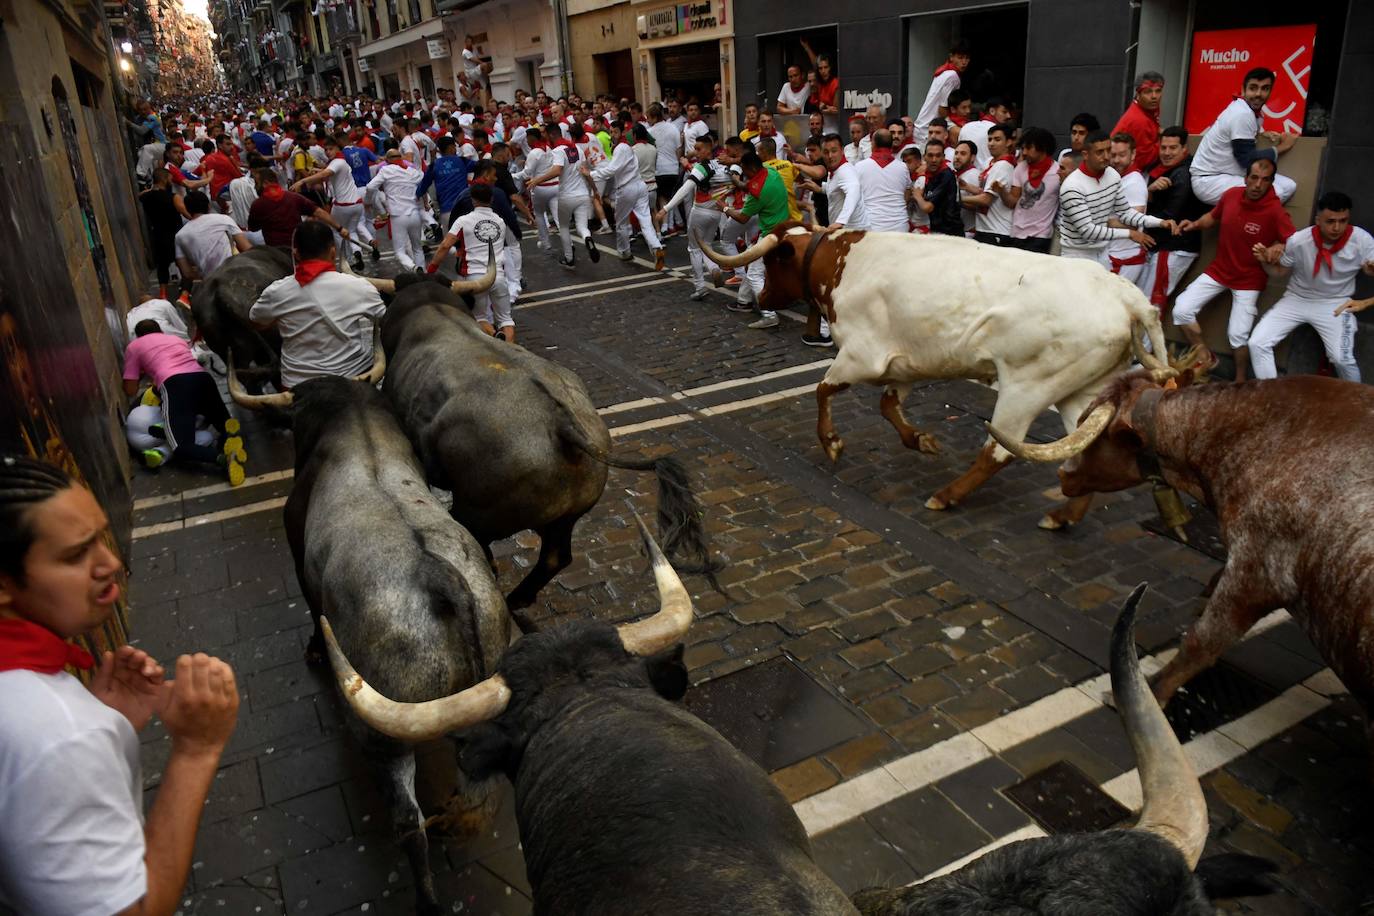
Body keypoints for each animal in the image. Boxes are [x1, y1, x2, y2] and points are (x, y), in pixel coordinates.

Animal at [381, 271, 714, 626]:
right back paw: (519, 597)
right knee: (556, 558)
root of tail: (561, 423)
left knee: (484, 545)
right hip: (565, 517)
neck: (432, 307)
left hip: (477, 512)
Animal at [703, 226, 1176, 530]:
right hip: (1084, 390)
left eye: (770, 262)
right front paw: (920, 440)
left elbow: (822, 390)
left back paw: (946, 496)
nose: (763, 296)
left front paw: (832, 442)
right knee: (1088, 446)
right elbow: (887, 404)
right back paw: (1063, 515)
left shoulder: (861, 355)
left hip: (1028, 386)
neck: (841, 263)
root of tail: (1127, 297)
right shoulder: (903, 362)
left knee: (999, 451)